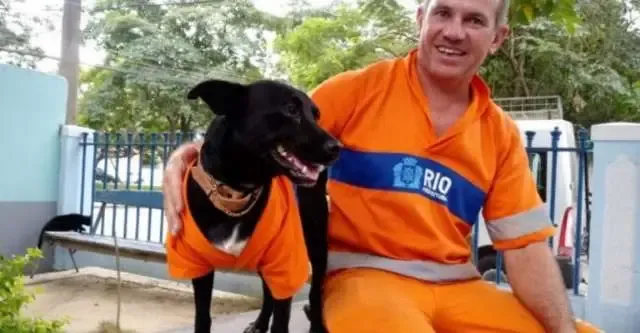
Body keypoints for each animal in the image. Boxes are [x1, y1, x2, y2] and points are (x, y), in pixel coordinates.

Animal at [179, 78, 340, 332]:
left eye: (316, 115)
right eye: (290, 109)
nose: (337, 147)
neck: (237, 192)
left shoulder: (285, 265)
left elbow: (282, 320)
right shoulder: (200, 266)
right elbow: (202, 317)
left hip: (315, 245)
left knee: (314, 293)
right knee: (268, 292)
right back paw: (260, 322)